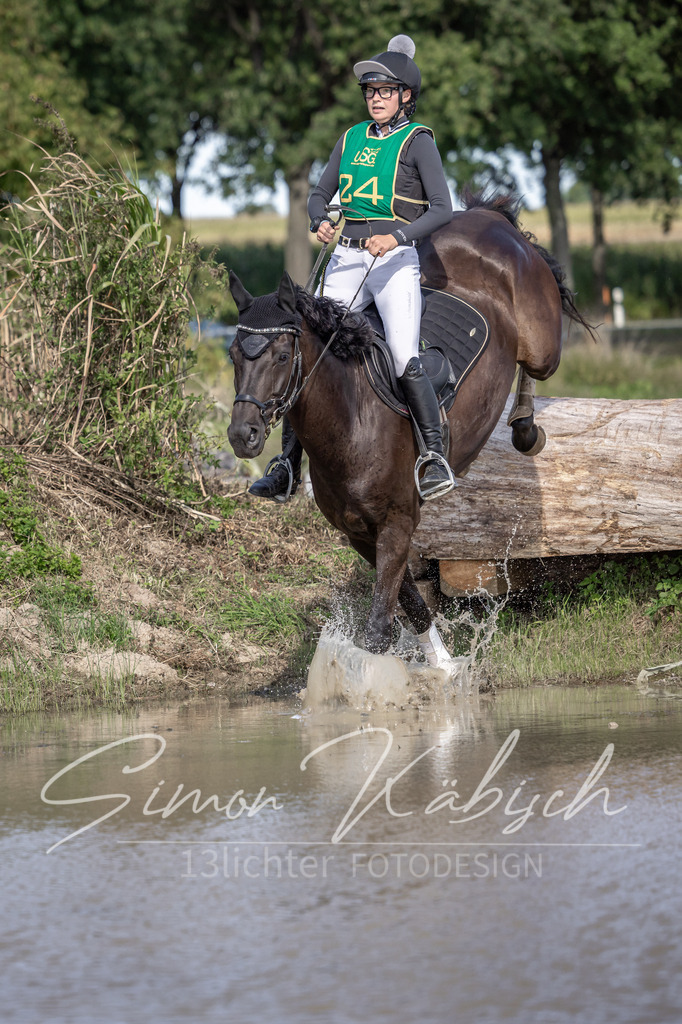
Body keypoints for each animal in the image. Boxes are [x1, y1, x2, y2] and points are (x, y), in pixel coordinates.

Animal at [227, 190, 591, 663]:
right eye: (234, 354)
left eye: (283, 357)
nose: (242, 435)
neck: (351, 423)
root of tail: (488, 218)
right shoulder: (359, 533)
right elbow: (411, 603)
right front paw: (442, 666)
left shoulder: (397, 525)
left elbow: (380, 627)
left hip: (541, 342)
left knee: (535, 366)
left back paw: (525, 428)